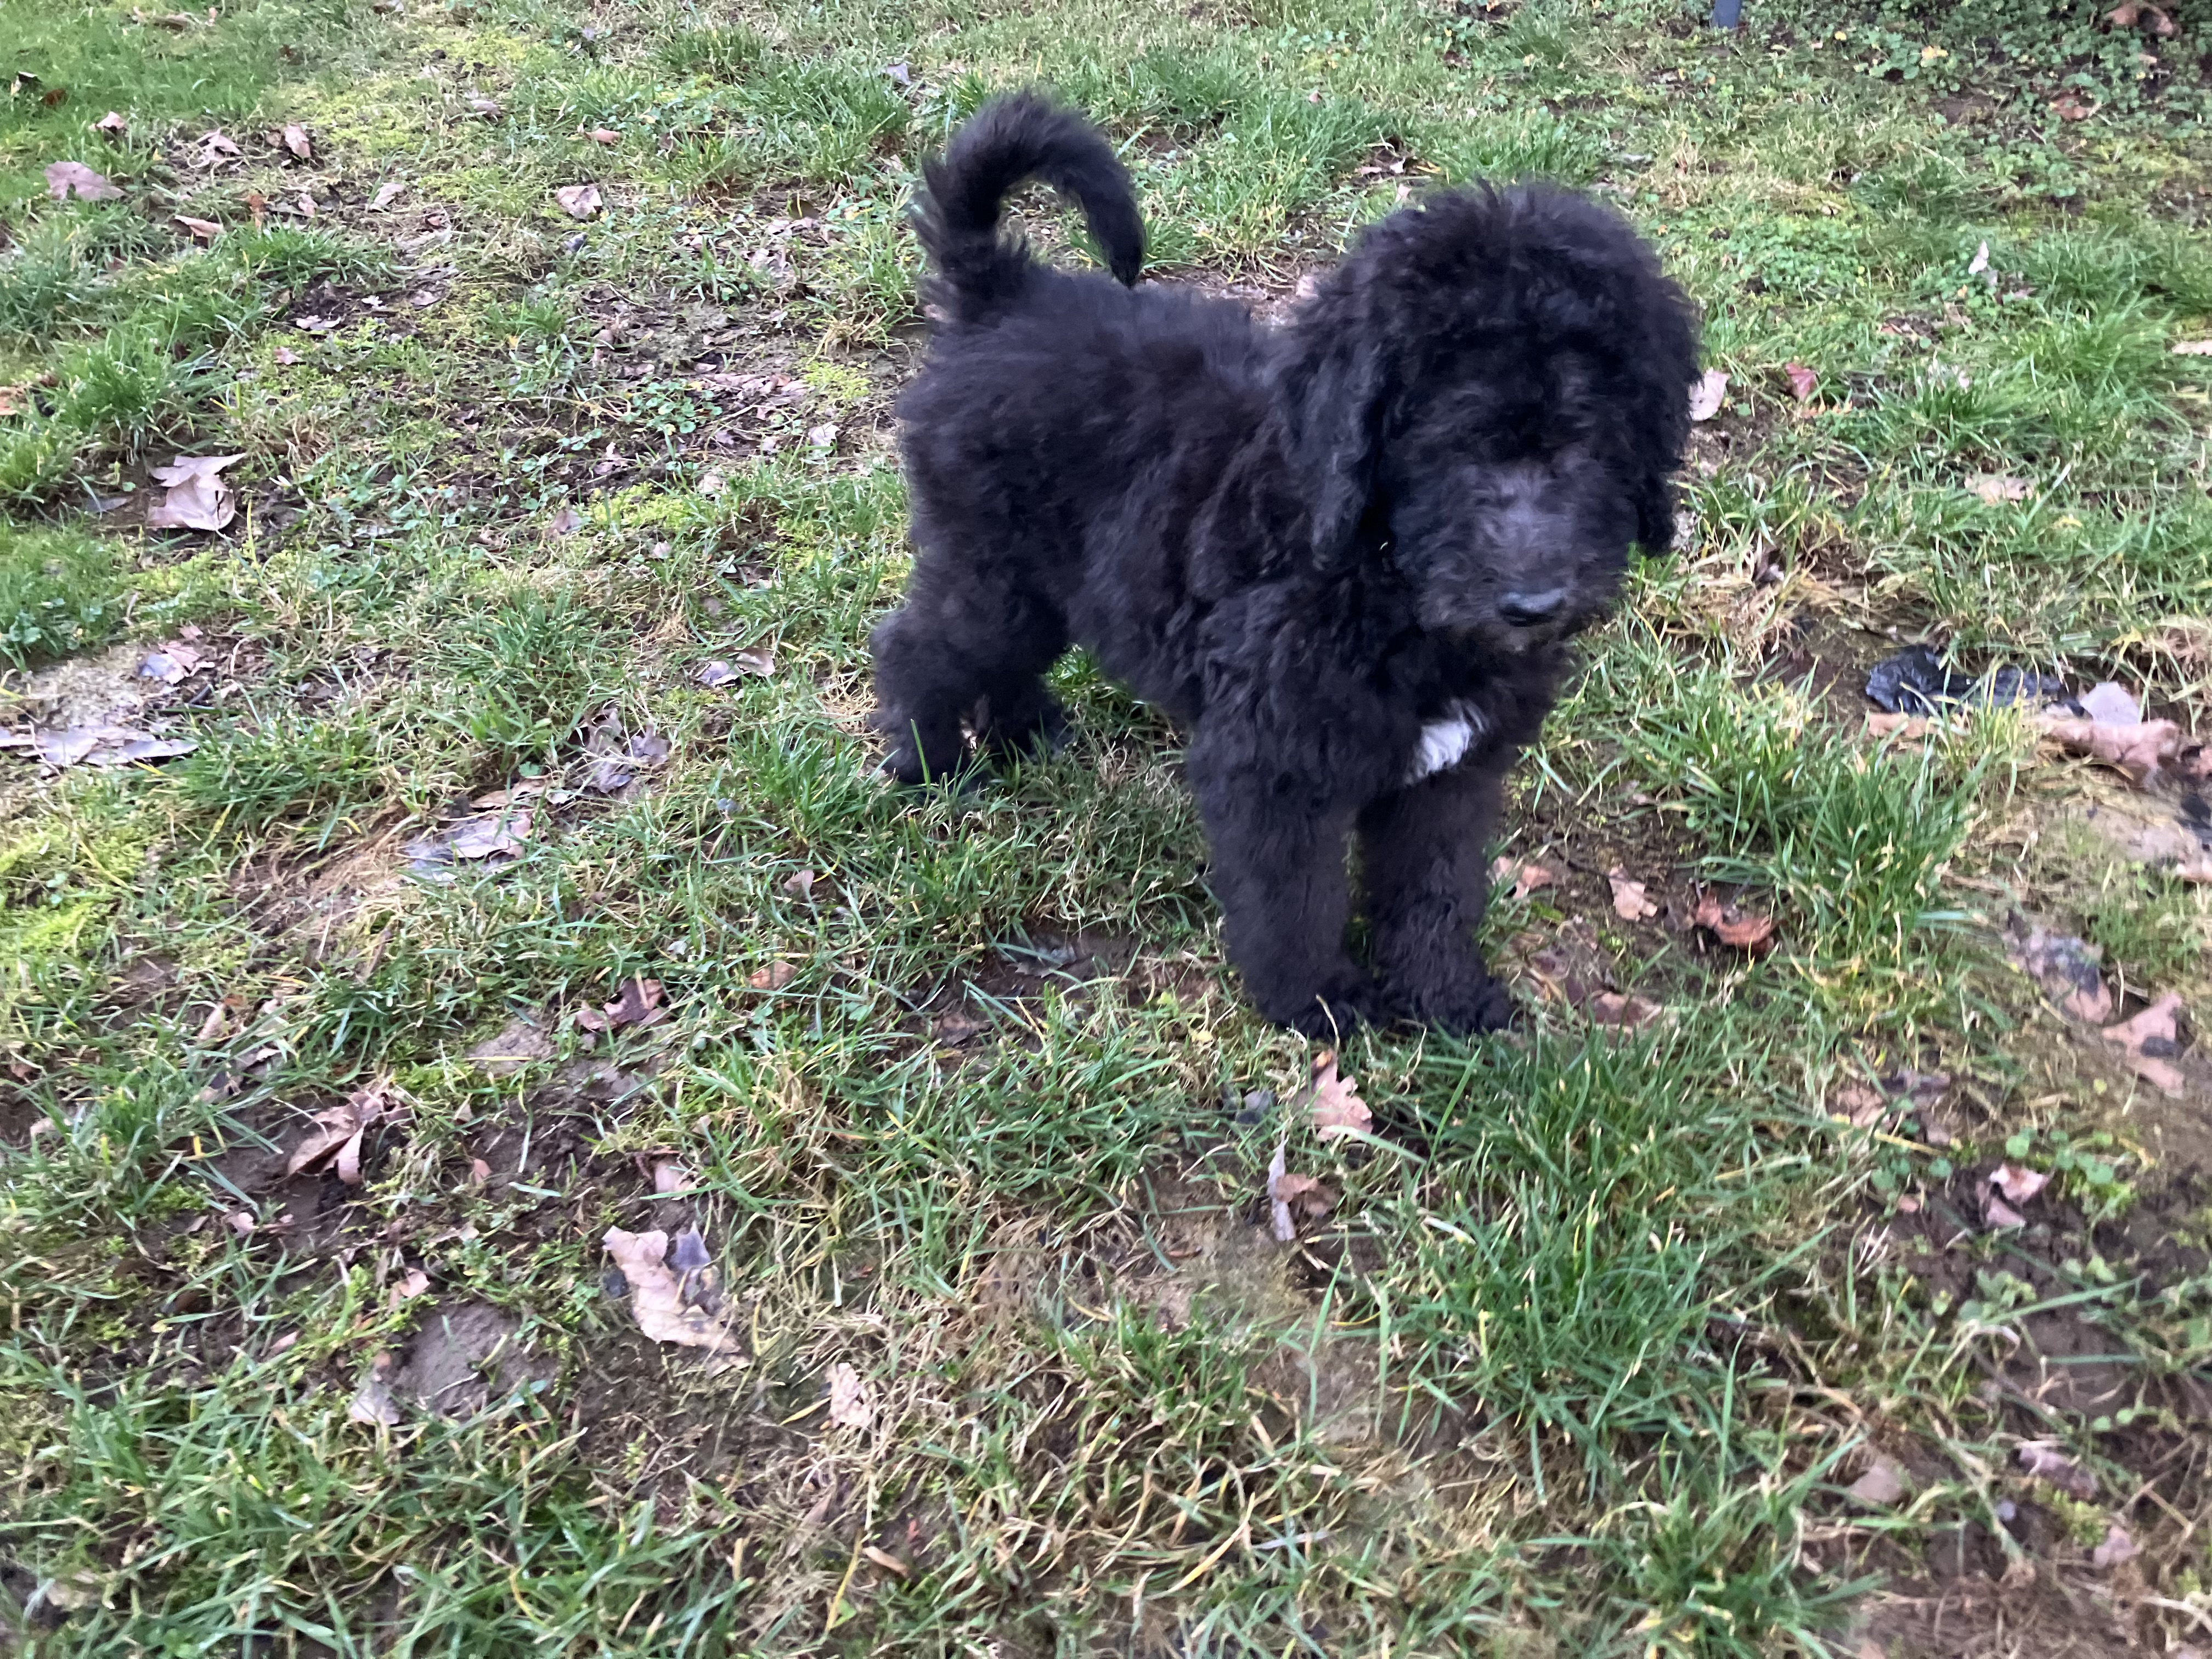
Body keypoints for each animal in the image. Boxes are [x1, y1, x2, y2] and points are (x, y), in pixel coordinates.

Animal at [871, 93, 1700, 1036]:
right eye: (1453, 443)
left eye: (1587, 441)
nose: (1532, 603)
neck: (1380, 586)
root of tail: (1003, 292)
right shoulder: (1273, 768)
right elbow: (1293, 900)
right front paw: (1320, 1001)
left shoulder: (1452, 775)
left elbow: (1436, 890)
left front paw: (1445, 996)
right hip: (993, 575)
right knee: (918, 645)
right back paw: (933, 764)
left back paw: (1025, 732)